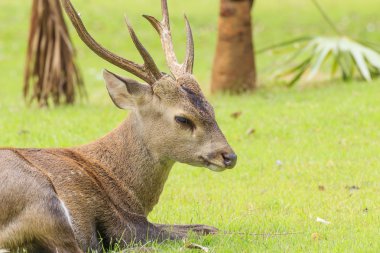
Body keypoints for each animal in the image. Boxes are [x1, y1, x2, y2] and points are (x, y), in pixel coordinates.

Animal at [0, 0, 236, 251]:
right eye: (182, 118)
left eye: (211, 108)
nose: (229, 156)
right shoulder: (121, 222)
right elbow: (206, 230)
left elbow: (201, 227)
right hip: (42, 200)